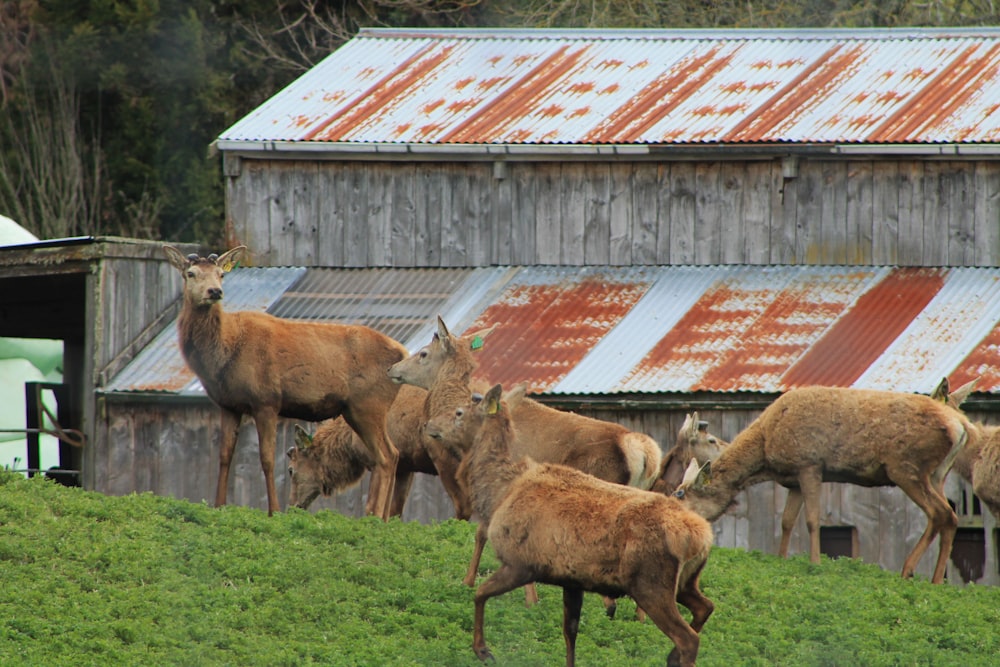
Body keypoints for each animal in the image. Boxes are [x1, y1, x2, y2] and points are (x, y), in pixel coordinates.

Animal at [166, 247, 408, 520]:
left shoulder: (266, 400)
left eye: (221, 274)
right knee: (390, 455)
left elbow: (267, 458)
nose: (214, 291)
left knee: (387, 455)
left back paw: (375, 517)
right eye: (191, 273)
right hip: (356, 410)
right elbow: (224, 455)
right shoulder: (228, 405)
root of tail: (402, 353)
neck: (224, 353)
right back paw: (381, 519)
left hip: (369, 404)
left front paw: (273, 511)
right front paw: (219, 506)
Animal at [286, 384, 472, 520]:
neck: (347, 441)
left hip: (445, 459)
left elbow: (371, 507)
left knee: (463, 506)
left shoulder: (379, 461)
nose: (293, 506)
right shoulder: (405, 467)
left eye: (291, 470)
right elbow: (394, 510)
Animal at [458, 384, 712, 667]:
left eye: (463, 412)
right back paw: (671, 655)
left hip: (651, 583)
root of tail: (702, 537)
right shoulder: (571, 579)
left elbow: (480, 593)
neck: (501, 491)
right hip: (685, 581)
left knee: (688, 638)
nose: (452, 416)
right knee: (705, 607)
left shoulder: (520, 563)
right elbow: (570, 632)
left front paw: (482, 650)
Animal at [672, 386, 968, 584]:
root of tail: (961, 426)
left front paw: (814, 563)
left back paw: (908, 570)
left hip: (906, 467)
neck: (765, 450)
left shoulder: (809, 465)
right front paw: (781, 558)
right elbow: (787, 521)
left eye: (680, 494)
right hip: (937, 474)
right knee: (950, 516)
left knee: (939, 513)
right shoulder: (793, 479)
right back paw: (936, 579)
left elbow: (812, 520)